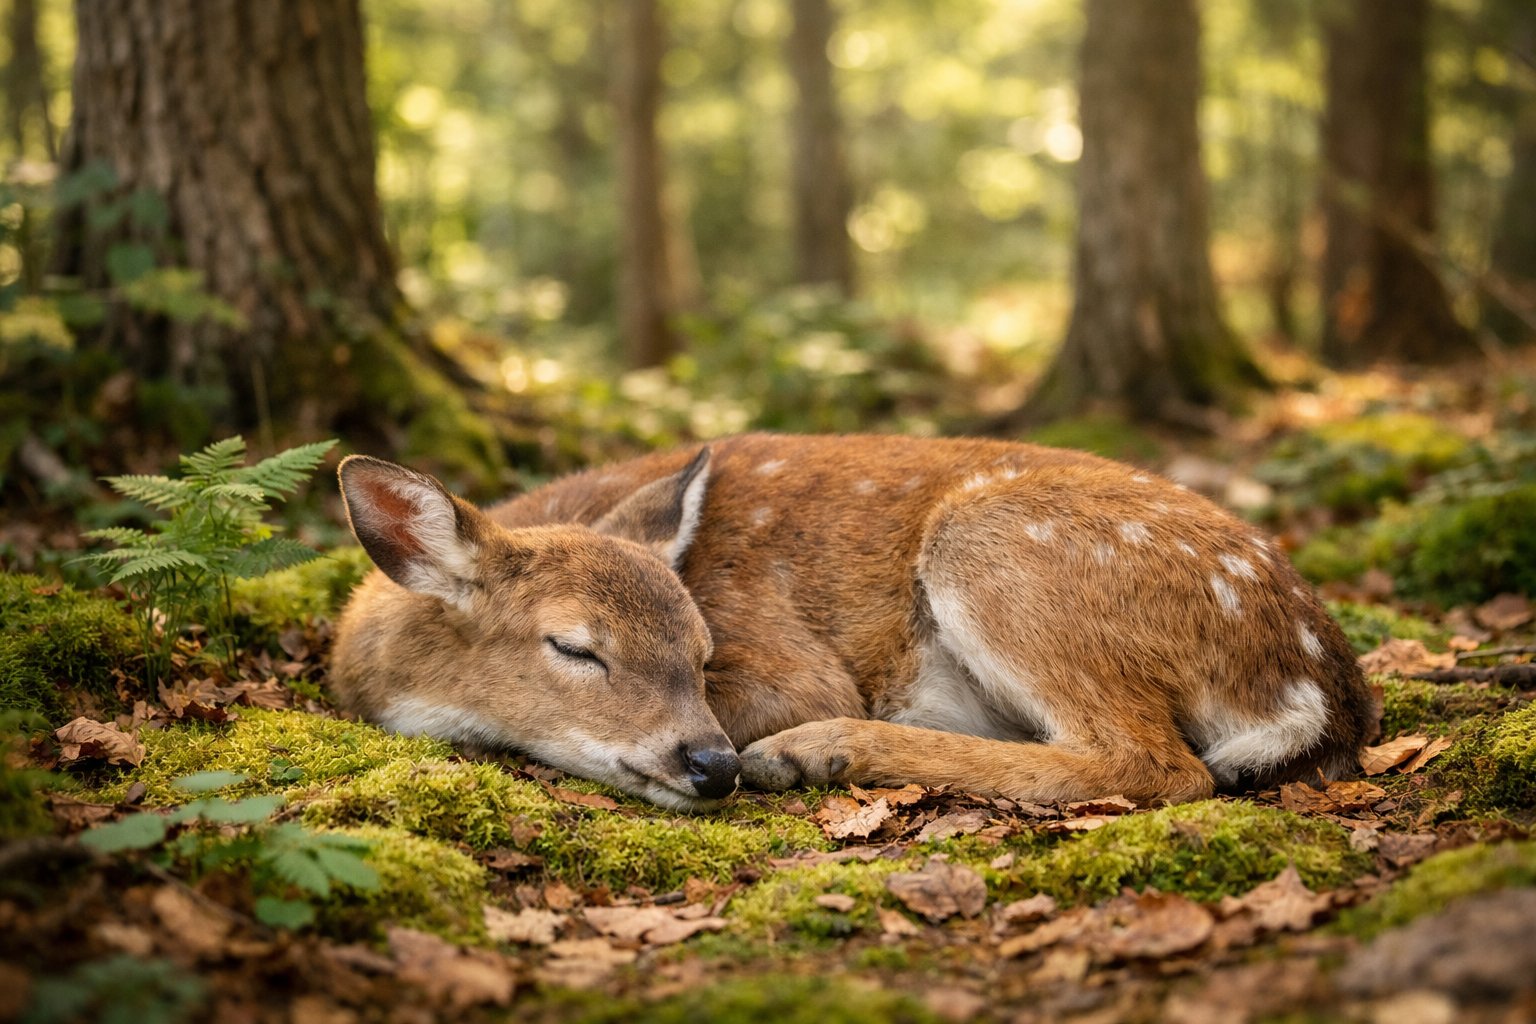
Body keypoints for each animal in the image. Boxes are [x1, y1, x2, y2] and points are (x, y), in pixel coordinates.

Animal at [330, 433, 1374, 812]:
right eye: (575, 647)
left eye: (703, 652)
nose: (708, 764)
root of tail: (1318, 678)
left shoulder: (796, 662)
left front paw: (788, 744)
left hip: (996, 545)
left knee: (1158, 763)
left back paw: (818, 750)